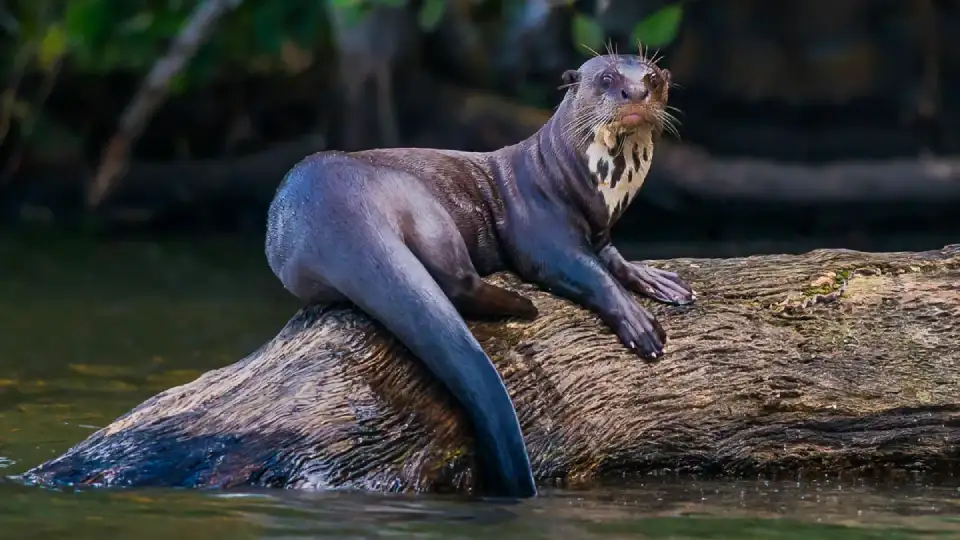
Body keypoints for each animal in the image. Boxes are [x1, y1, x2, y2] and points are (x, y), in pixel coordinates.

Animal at [266, 52, 692, 500]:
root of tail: (334, 208)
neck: (576, 181)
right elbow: (587, 272)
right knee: (456, 281)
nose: (635, 92)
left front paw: (658, 280)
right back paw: (523, 306)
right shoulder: (540, 233)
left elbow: (615, 260)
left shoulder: (601, 231)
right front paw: (639, 323)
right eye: (607, 78)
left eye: (651, 77)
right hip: (420, 201)